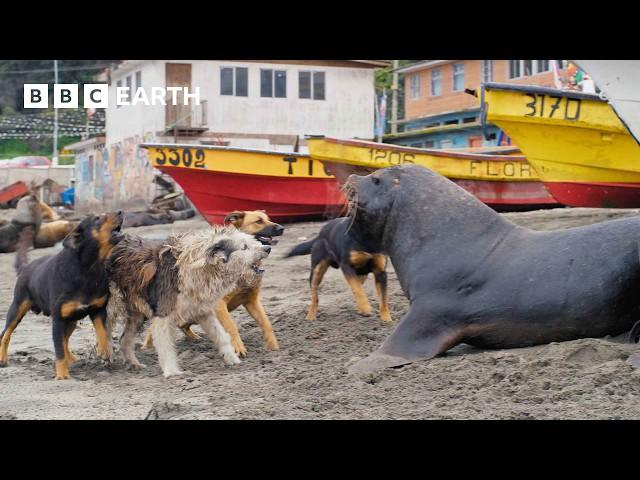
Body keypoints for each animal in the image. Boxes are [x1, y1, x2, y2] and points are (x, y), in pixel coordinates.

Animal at [0, 210, 124, 378]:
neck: (88, 269)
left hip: (70, 319)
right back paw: (3, 359)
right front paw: (62, 375)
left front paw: (104, 352)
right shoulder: (58, 320)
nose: (120, 211)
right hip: (17, 307)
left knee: (65, 339)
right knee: (5, 334)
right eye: (97, 218)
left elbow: (102, 332)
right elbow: (58, 349)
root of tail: (25, 268)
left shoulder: (98, 310)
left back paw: (71, 358)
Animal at [146, 210, 286, 356]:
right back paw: (147, 348)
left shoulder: (251, 301)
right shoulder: (220, 304)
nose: (281, 228)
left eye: (268, 218)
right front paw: (238, 347)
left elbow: (266, 323)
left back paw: (195, 338)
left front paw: (273, 345)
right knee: (153, 329)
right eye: (258, 221)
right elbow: (231, 326)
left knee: (183, 326)